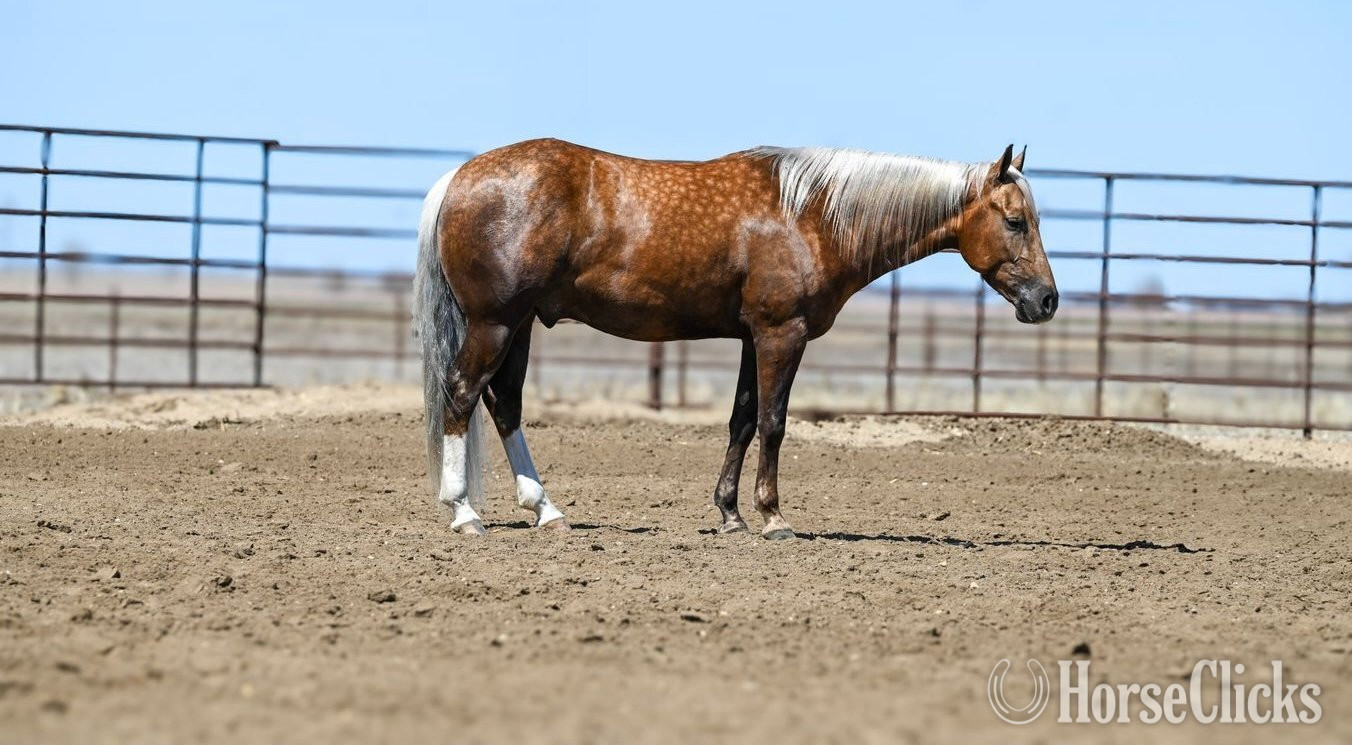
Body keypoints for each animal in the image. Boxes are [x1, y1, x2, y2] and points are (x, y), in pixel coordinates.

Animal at [413, 139, 1056, 539]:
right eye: (1016, 221)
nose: (1047, 300)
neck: (812, 215)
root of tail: (460, 177)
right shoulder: (782, 334)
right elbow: (773, 422)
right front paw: (773, 517)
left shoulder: (754, 338)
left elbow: (742, 419)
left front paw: (730, 514)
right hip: (495, 322)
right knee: (462, 393)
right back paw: (464, 513)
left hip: (518, 324)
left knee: (504, 404)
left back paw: (546, 510)